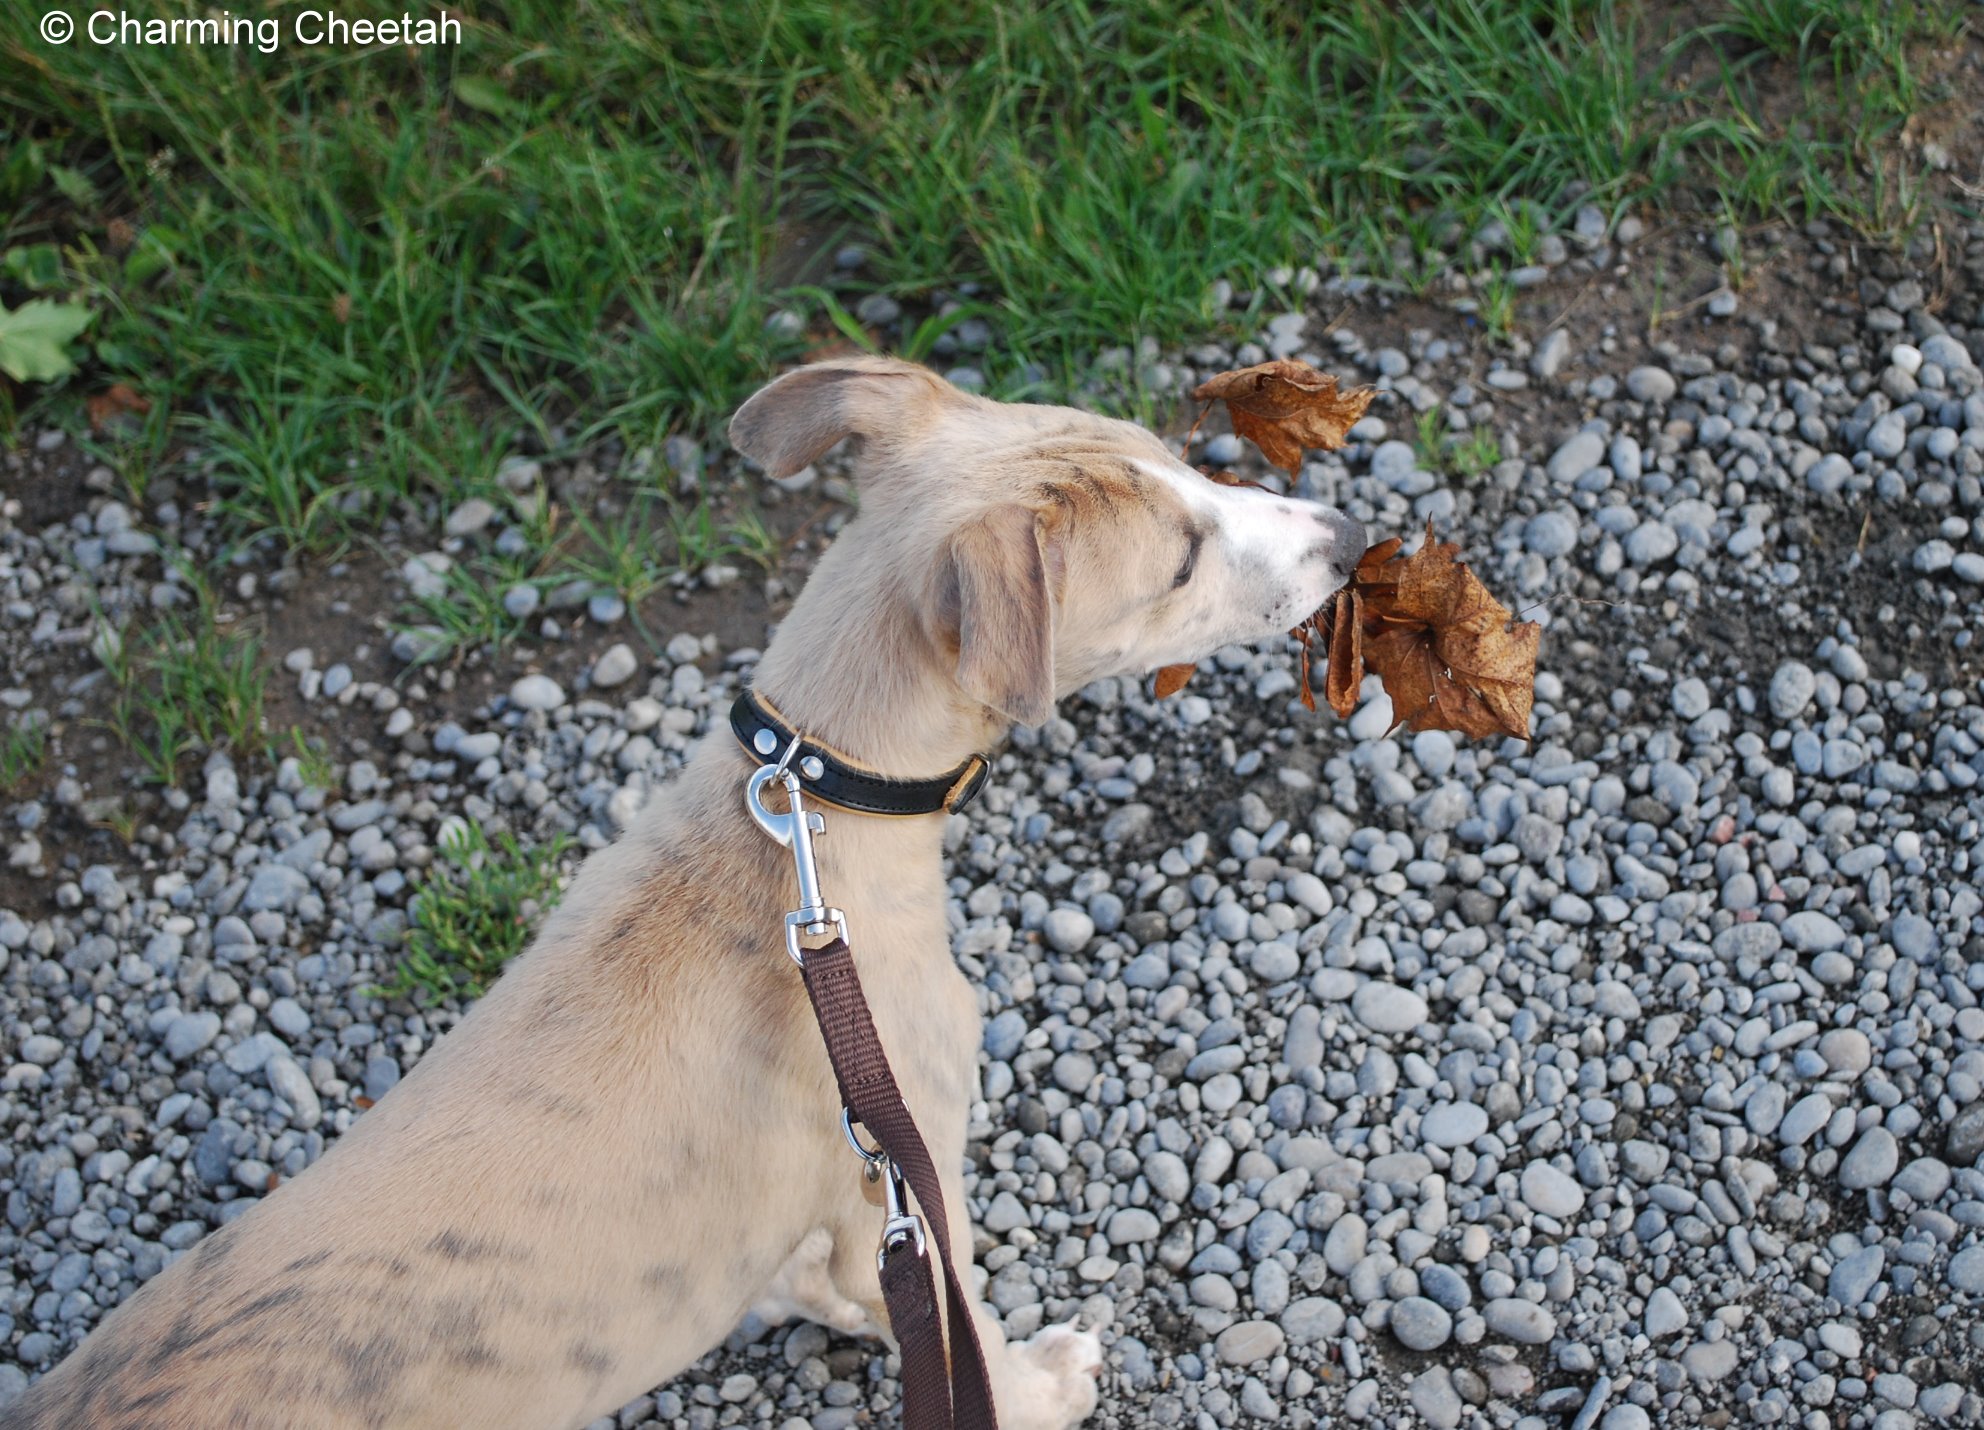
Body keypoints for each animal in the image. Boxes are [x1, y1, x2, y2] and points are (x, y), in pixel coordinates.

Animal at [7, 357, 1364, 1428]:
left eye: (1182, 463)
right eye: (1179, 559)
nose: (1349, 538)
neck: (810, 813)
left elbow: (844, 1288)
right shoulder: (910, 1160)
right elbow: (962, 1326)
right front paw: (1042, 1381)